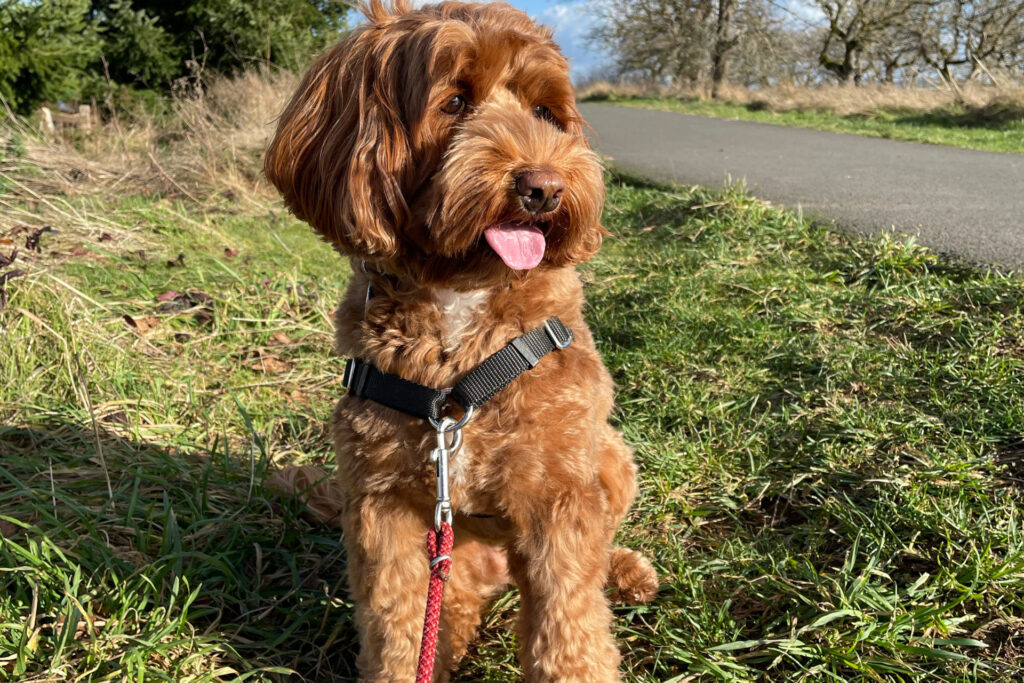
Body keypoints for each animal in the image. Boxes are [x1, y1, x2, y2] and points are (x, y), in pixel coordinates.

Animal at [264, 2, 659, 679]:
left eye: (546, 112)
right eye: (454, 102)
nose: (544, 187)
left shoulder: (559, 496)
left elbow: (570, 628)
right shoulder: (383, 505)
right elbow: (395, 626)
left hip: (610, 456)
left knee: (600, 550)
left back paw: (627, 571)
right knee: (446, 612)